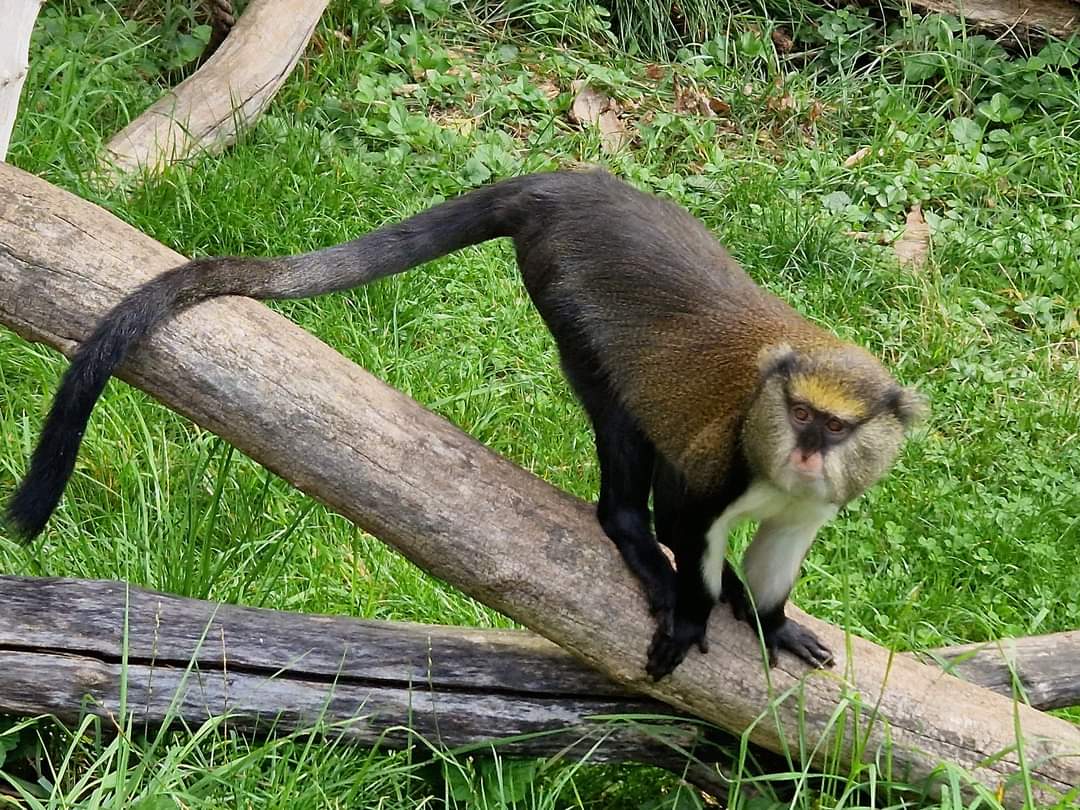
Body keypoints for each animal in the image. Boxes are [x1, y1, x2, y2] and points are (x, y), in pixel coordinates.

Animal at [5, 169, 925, 679]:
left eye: (837, 431)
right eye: (799, 415)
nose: (803, 453)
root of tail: (572, 184)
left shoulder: (809, 505)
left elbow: (782, 555)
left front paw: (770, 621)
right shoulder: (717, 466)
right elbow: (683, 514)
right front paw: (696, 611)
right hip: (567, 300)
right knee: (623, 444)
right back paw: (637, 541)